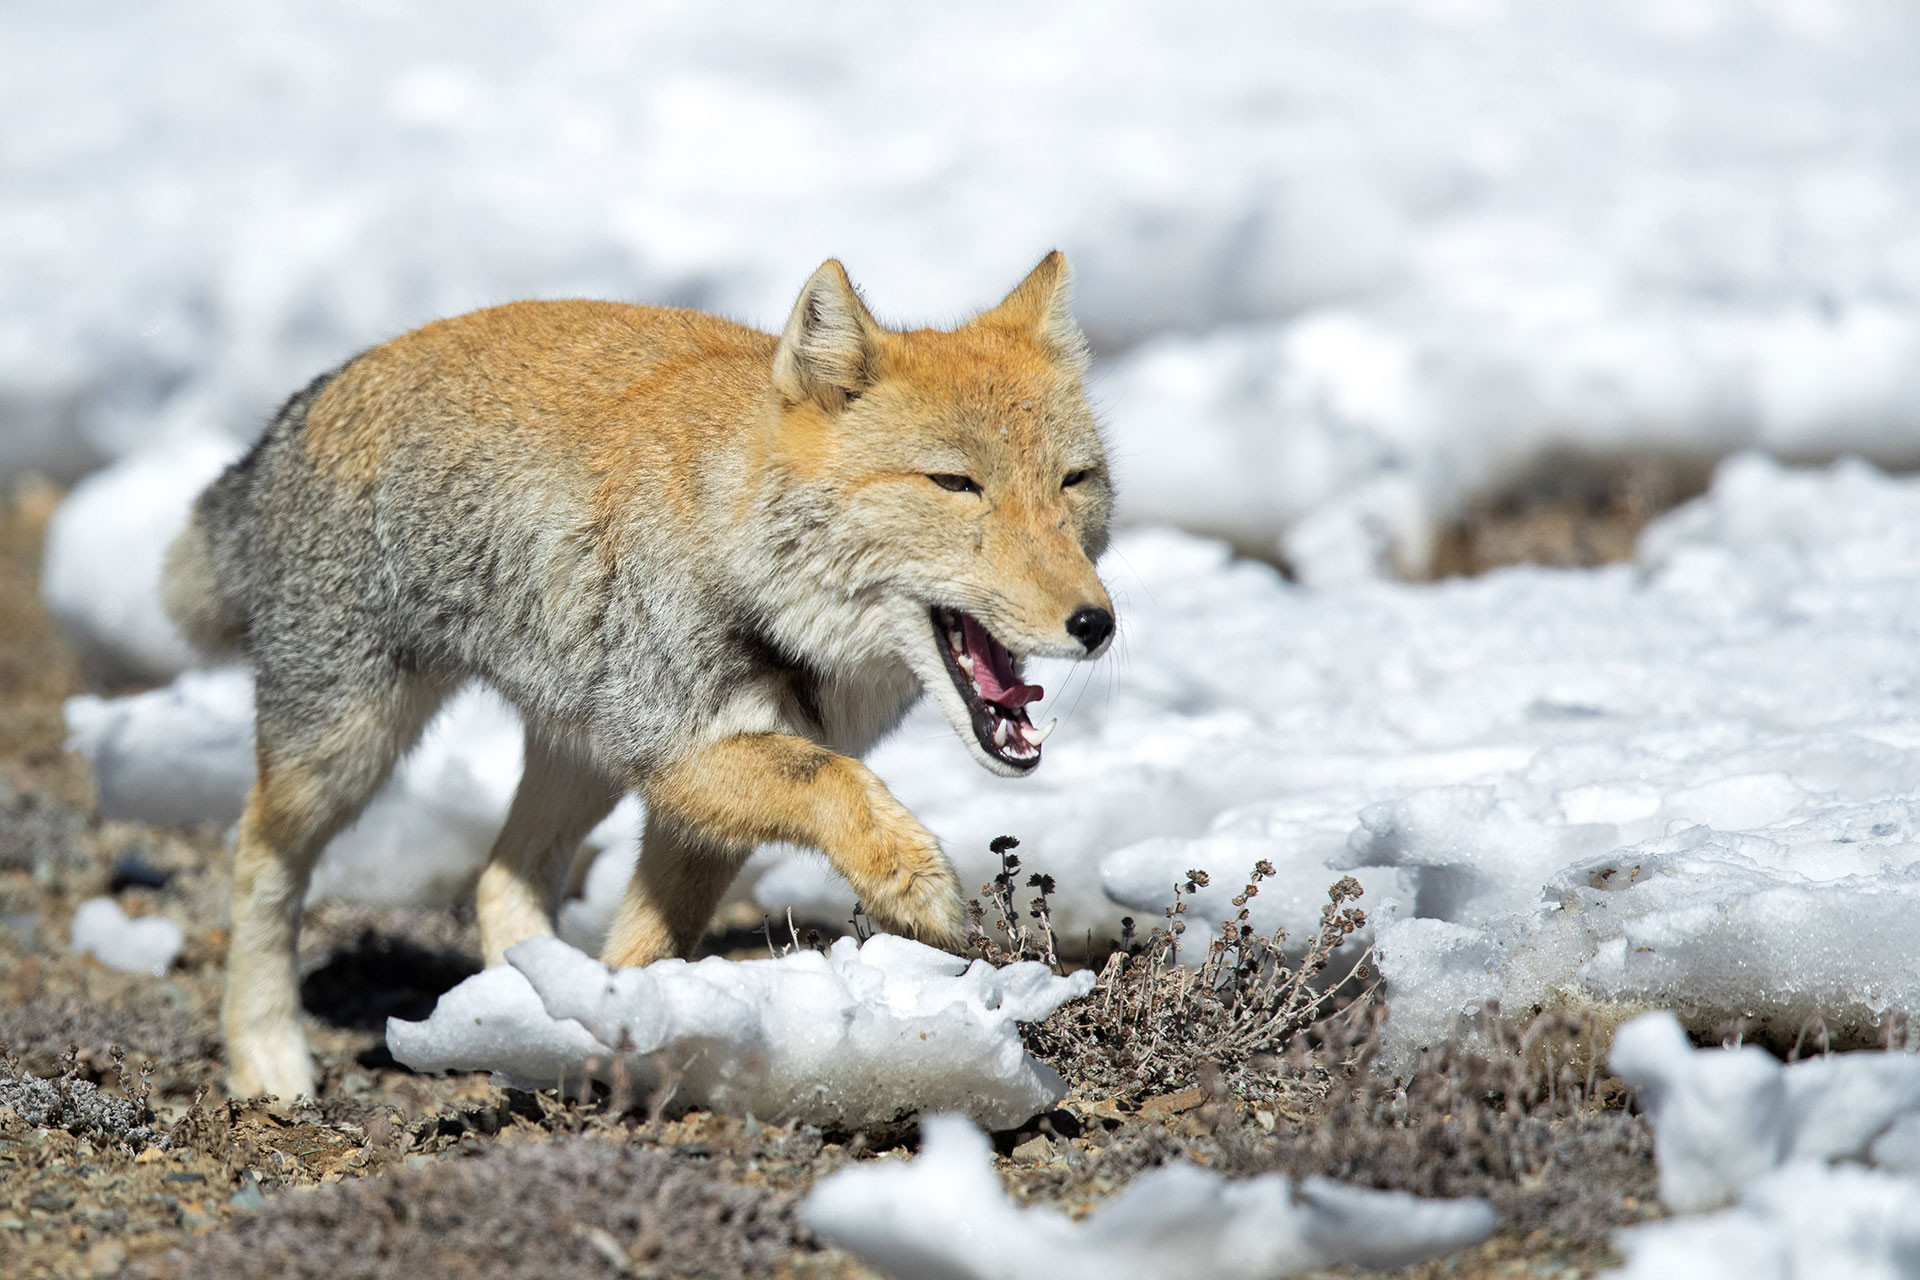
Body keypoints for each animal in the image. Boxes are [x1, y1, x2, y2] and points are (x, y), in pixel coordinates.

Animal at [161, 252, 1117, 1099]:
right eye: (956, 484)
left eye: (1074, 480)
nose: (1097, 624)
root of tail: (311, 397)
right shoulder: (676, 755)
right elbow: (835, 782)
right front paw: (911, 881)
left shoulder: (692, 801)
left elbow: (647, 943)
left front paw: (628, 1035)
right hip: (346, 755)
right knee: (257, 864)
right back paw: (268, 1058)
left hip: (578, 757)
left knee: (500, 879)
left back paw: (519, 1022)